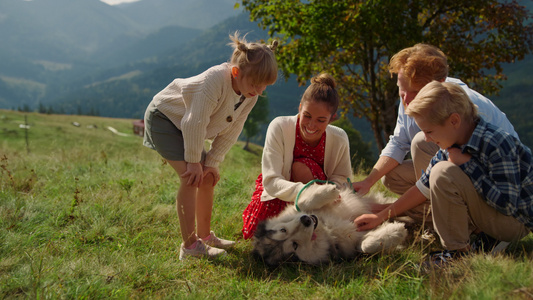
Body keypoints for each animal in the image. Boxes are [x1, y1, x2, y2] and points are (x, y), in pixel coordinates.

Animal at [252, 183, 408, 264]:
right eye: (294, 245)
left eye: (283, 229)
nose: (306, 220)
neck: (326, 228)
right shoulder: (350, 243)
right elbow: (365, 246)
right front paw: (396, 231)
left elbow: (303, 202)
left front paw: (327, 190)